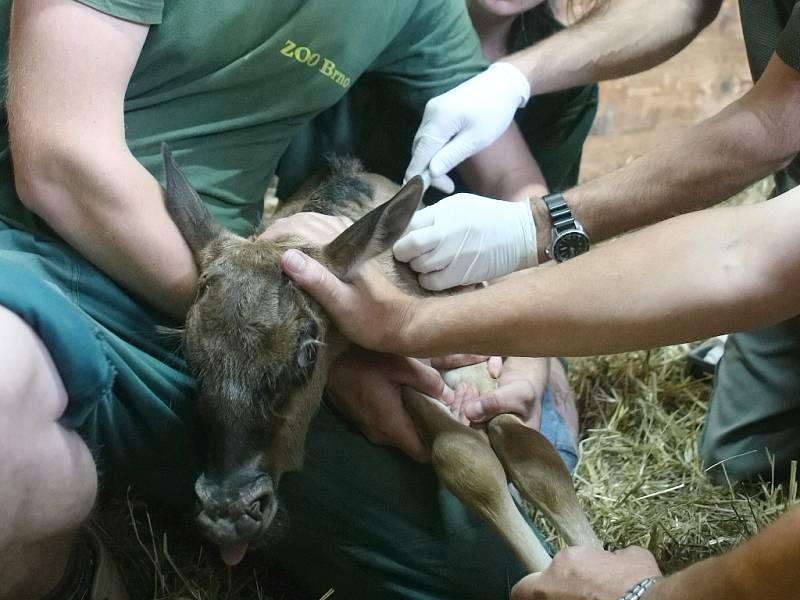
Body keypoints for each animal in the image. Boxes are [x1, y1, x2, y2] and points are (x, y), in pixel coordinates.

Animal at [162, 145, 596, 572]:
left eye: (308, 350)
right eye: (191, 353)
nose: (228, 513)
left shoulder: (465, 349)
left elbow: (529, 450)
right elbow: (465, 457)